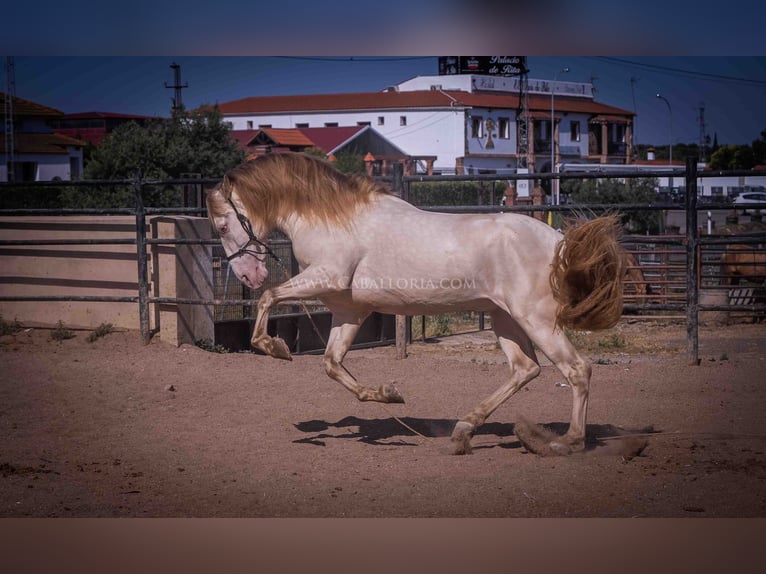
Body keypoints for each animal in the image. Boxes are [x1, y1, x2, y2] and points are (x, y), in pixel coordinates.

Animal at [207, 154, 628, 460]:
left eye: (223, 226)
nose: (247, 276)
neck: (335, 219)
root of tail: (556, 240)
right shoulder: (348, 310)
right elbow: (331, 364)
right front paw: (388, 394)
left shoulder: (326, 277)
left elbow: (269, 299)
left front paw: (275, 348)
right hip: (504, 317)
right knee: (525, 369)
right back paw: (462, 433)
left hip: (536, 319)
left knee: (577, 370)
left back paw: (567, 441)